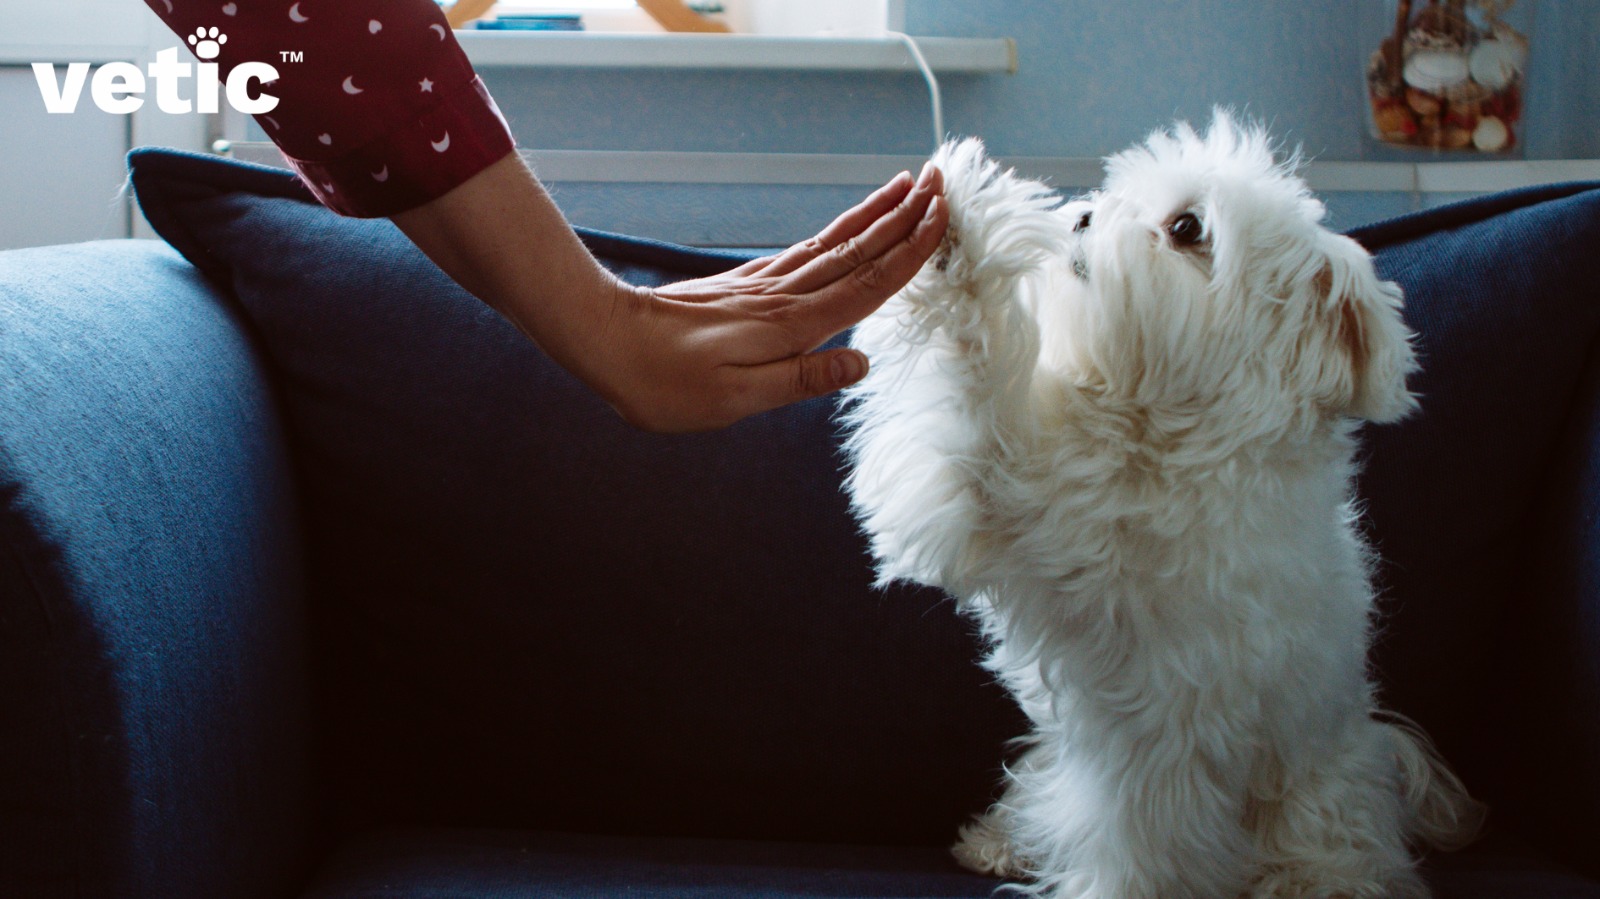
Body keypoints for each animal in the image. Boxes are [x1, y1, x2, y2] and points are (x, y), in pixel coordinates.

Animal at [844, 113, 1478, 895]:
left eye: (1186, 227)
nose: (1083, 215)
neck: (1159, 436)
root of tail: (1378, 743)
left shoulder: (1165, 726)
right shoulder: (1005, 488)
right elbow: (976, 368)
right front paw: (949, 230)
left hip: (1311, 790)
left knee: (1330, 841)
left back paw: (1314, 877)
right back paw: (999, 842)